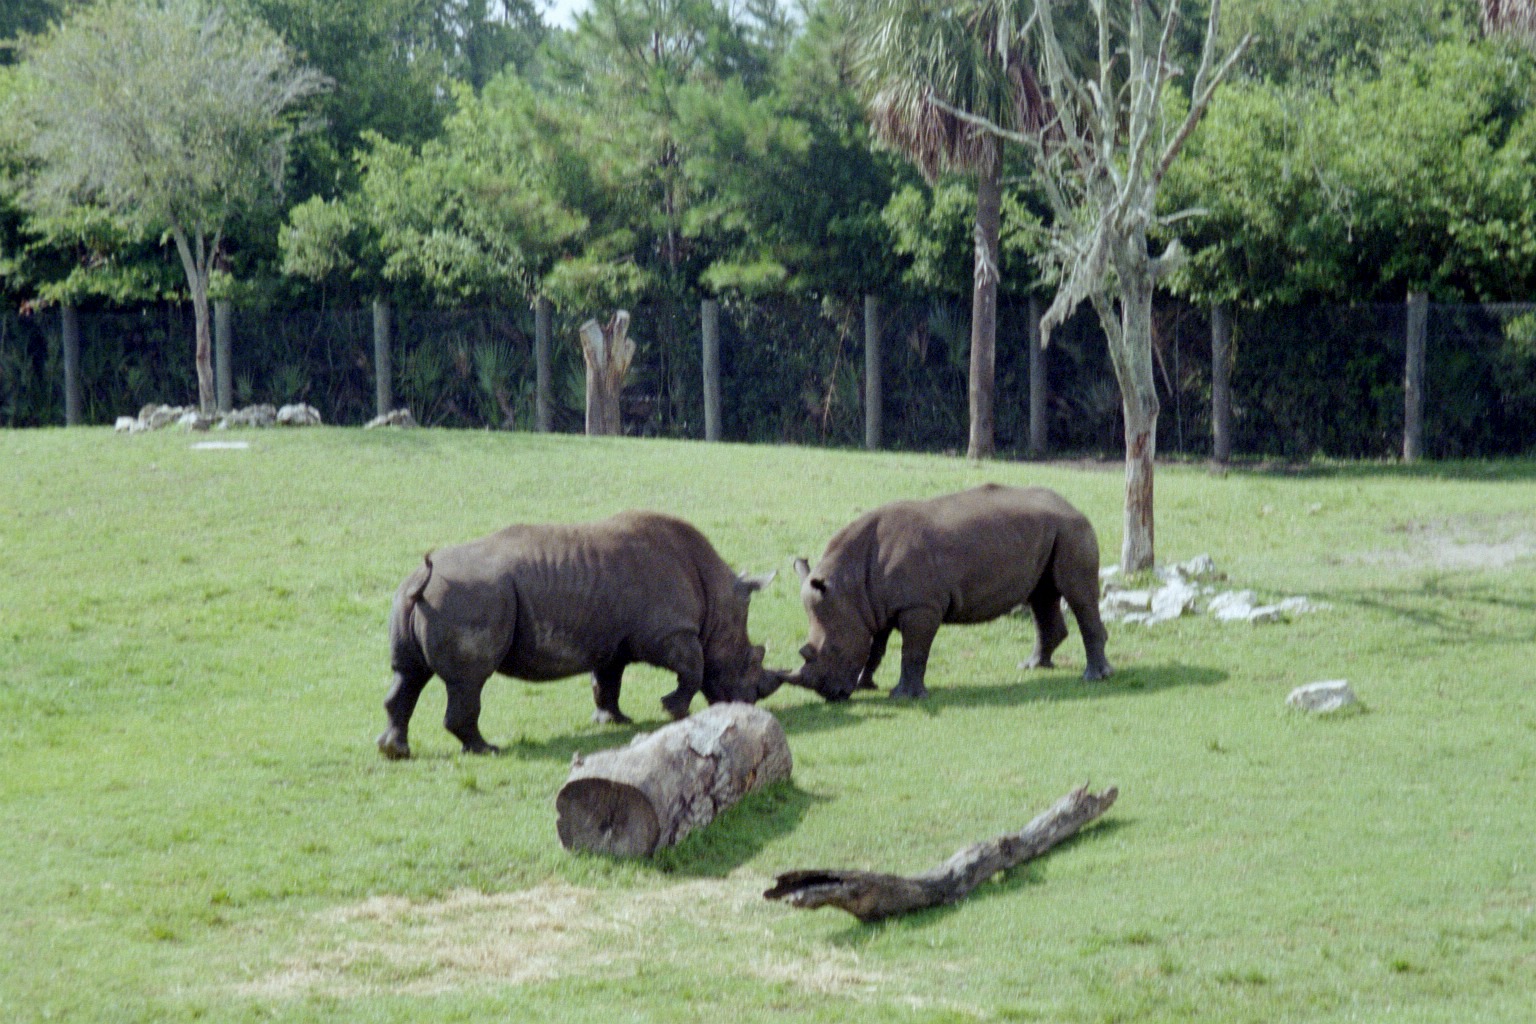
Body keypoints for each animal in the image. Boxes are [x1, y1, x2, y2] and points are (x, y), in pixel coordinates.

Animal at [377, 511, 780, 760]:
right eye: (749, 660)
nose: (749, 703)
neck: (717, 599)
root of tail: (420, 580)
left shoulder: (613, 641)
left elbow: (607, 681)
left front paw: (614, 721)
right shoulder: (669, 632)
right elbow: (693, 666)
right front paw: (674, 710)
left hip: (413, 598)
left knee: (408, 674)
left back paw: (395, 751)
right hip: (468, 598)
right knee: (468, 682)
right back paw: (485, 749)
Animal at [784, 484, 1112, 701]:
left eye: (833, 649)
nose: (831, 695)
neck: (848, 584)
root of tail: (1073, 507)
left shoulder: (920, 606)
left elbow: (913, 650)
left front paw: (904, 696)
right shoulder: (875, 606)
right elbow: (875, 649)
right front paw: (867, 685)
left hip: (1073, 531)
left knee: (1078, 594)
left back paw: (1094, 677)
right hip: (1051, 532)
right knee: (1042, 596)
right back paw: (1033, 666)